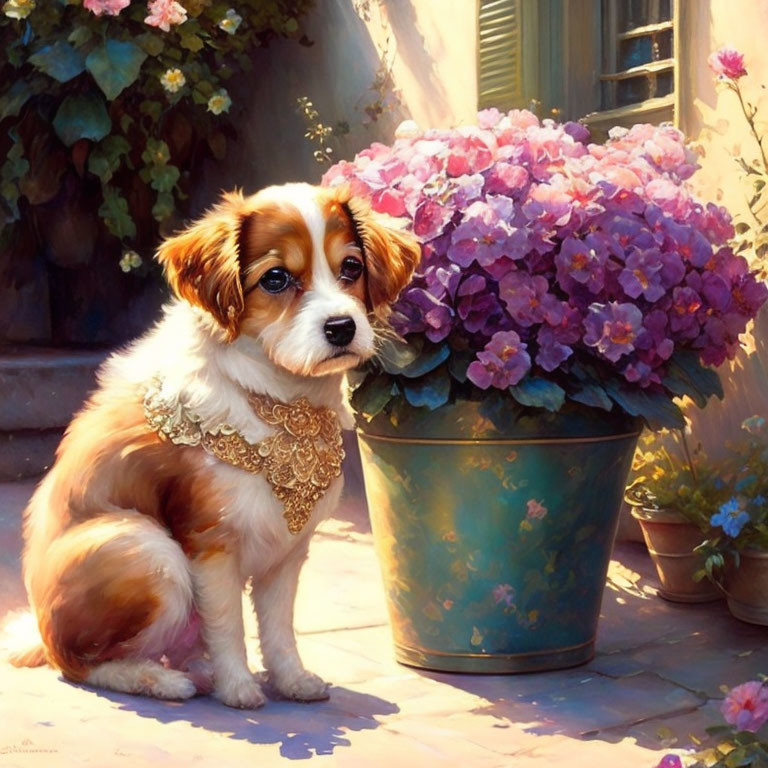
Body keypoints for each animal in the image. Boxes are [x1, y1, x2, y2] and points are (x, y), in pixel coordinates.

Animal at [9, 183, 420, 712]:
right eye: (276, 278)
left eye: (351, 268)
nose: (342, 327)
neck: (280, 400)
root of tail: (41, 631)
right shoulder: (211, 546)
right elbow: (228, 624)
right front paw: (239, 688)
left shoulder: (288, 551)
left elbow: (278, 626)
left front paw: (291, 680)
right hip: (148, 552)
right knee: (79, 664)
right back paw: (161, 681)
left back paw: (195, 670)